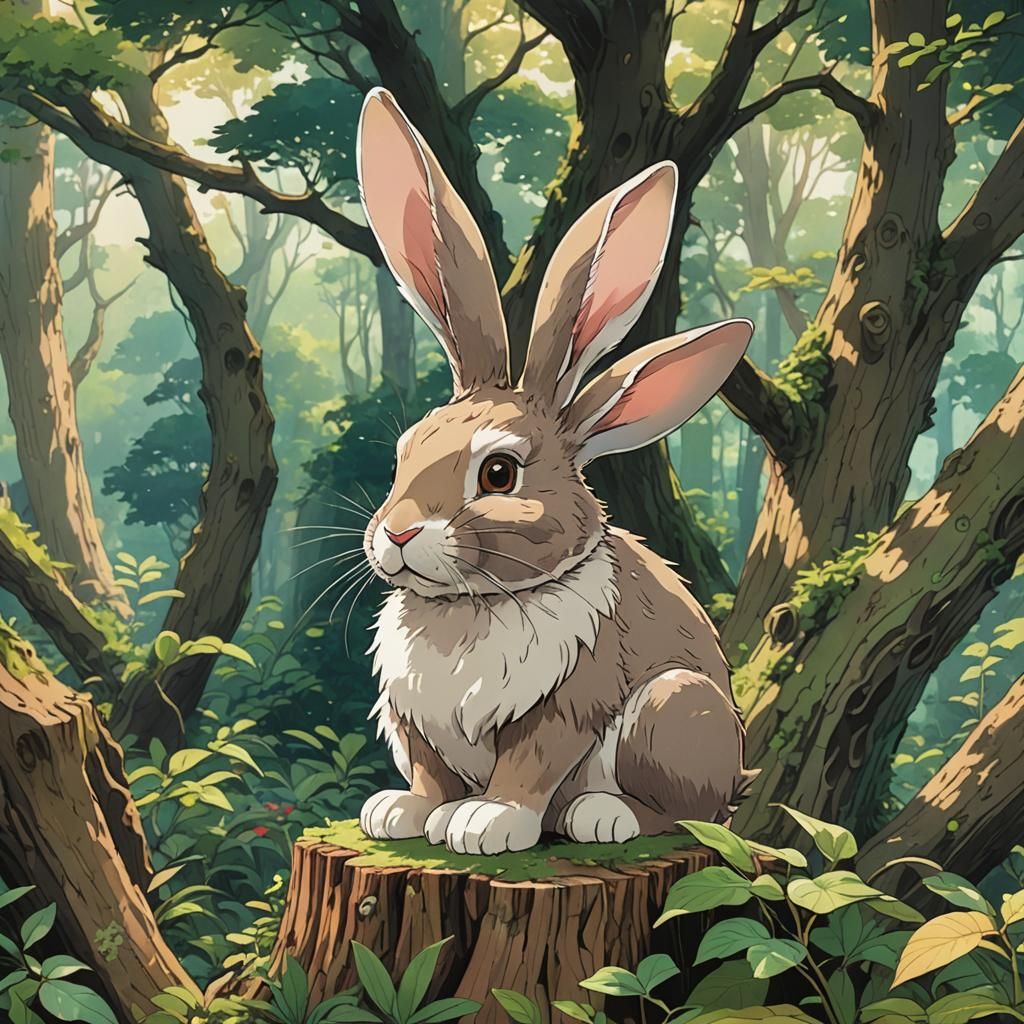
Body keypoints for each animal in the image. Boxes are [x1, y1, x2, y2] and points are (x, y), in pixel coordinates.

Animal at [354, 87, 756, 855]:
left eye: (499, 473)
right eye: (404, 452)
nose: (398, 534)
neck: (472, 605)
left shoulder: (567, 701)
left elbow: (529, 766)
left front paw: (486, 824)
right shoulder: (414, 721)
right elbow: (428, 773)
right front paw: (404, 814)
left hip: (672, 711)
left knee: (683, 812)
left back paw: (601, 817)